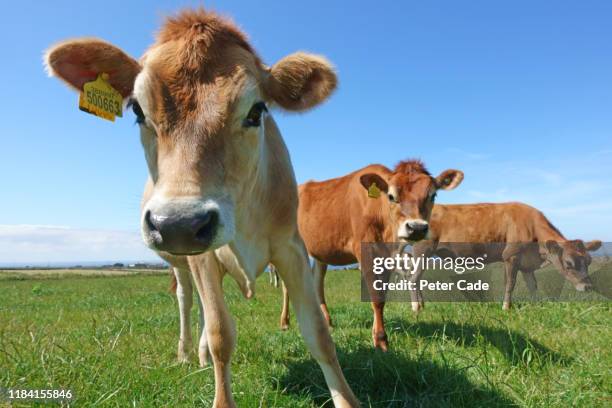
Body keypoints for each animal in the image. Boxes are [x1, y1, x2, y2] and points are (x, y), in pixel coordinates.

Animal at [46, 7, 358, 406]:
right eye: (137, 111)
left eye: (256, 111)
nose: (177, 223)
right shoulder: (202, 256)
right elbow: (221, 333)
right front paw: (214, 372)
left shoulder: (291, 247)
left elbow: (318, 333)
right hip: (182, 262)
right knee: (188, 301)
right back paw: (188, 352)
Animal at [294, 160, 462, 350]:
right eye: (391, 196)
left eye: (433, 196)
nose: (417, 228)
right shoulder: (365, 251)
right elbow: (375, 296)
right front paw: (381, 340)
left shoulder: (387, 256)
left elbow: (381, 297)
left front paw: (377, 335)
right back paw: (285, 323)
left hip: (320, 252)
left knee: (317, 283)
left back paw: (326, 322)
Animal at [408, 202, 604, 310]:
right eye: (568, 263)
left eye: (588, 261)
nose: (588, 287)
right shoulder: (511, 256)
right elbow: (510, 284)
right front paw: (506, 307)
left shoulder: (526, 262)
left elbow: (533, 285)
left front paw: (537, 305)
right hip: (422, 250)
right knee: (413, 279)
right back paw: (416, 307)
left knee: (418, 278)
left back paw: (422, 305)